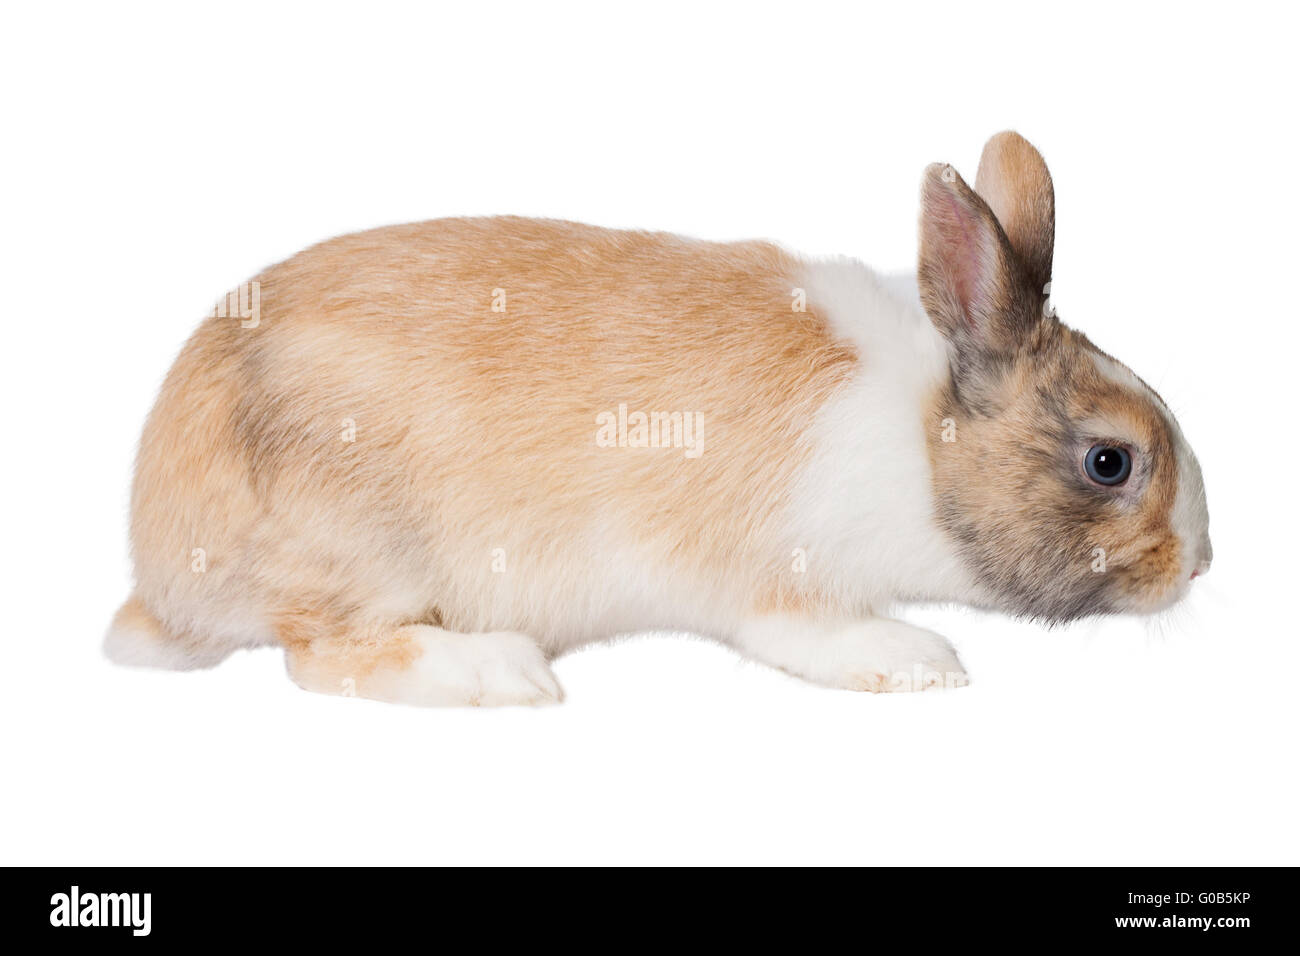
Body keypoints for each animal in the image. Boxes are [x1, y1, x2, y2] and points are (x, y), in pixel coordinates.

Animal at [106, 132, 1211, 702]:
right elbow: (810, 635)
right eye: (1111, 462)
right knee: (318, 655)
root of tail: (159, 570)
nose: (1199, 563)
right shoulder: (775, 581)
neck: (925, 436)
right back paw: (500, 669)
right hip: (358, 553)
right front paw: (918, 660)